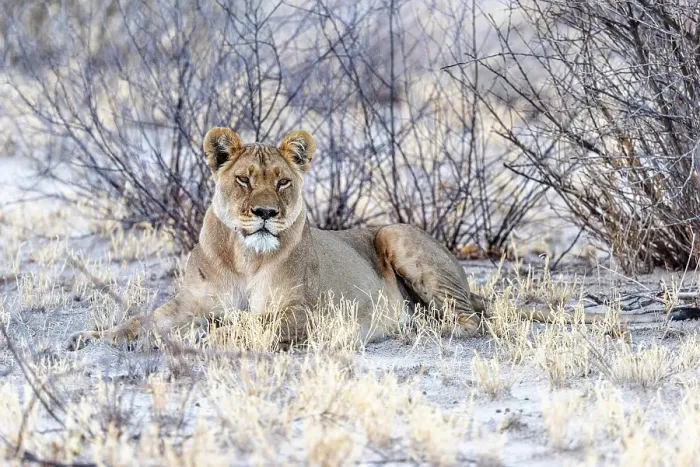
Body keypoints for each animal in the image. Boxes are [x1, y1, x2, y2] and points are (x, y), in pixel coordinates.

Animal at [67, 128, 659, 351]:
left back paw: (418, 329)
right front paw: (89, 338)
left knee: (468, 321)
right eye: (244, 180)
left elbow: (251, 326)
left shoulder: (303, 314)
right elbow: (141, 322)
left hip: (398, 235)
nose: (265, 213)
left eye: (283, 181)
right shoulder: (185, 303)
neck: (243, 257)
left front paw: (216, 334)